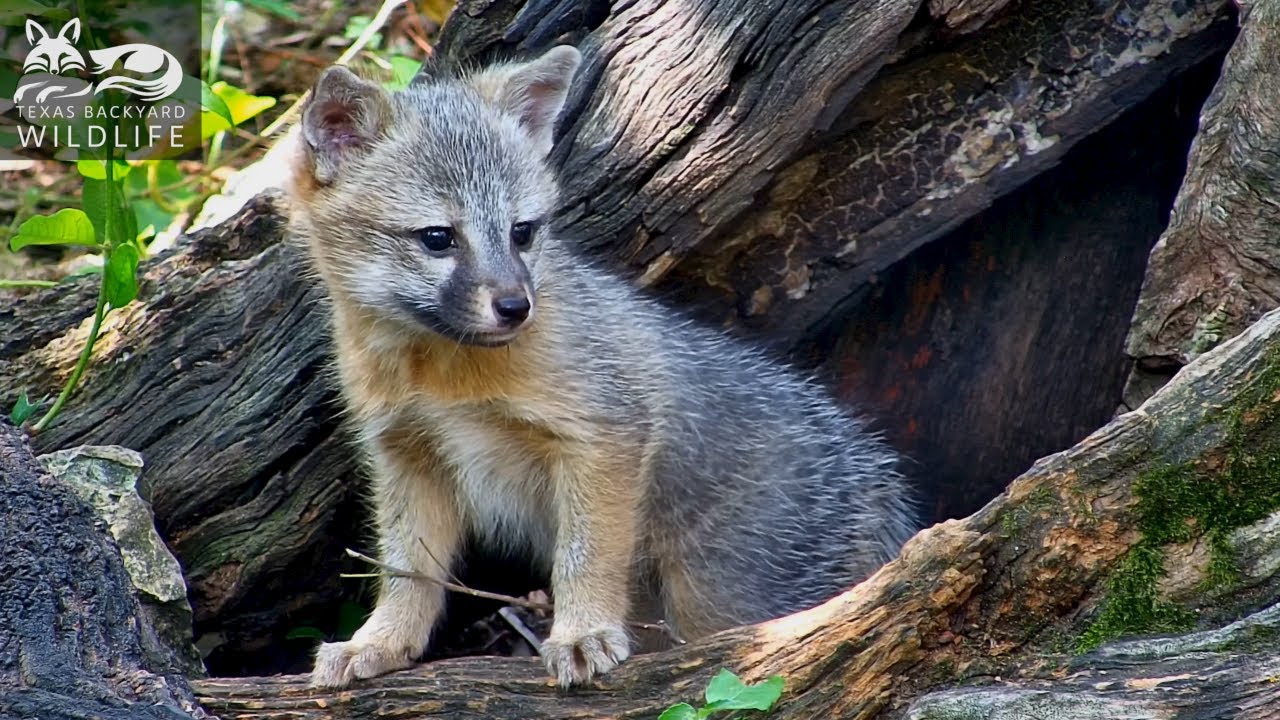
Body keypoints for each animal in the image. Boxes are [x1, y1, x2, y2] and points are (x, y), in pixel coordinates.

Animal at [287, 45, 919, 688]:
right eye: (438, 238)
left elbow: (584, 558)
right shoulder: (407, 454)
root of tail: (875, 475)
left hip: (716, 599)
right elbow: (406, 571)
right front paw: (382, 642)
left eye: (522, 232)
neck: (441, 379)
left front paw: (582, 634)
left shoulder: (606, 437)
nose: (516, 307)